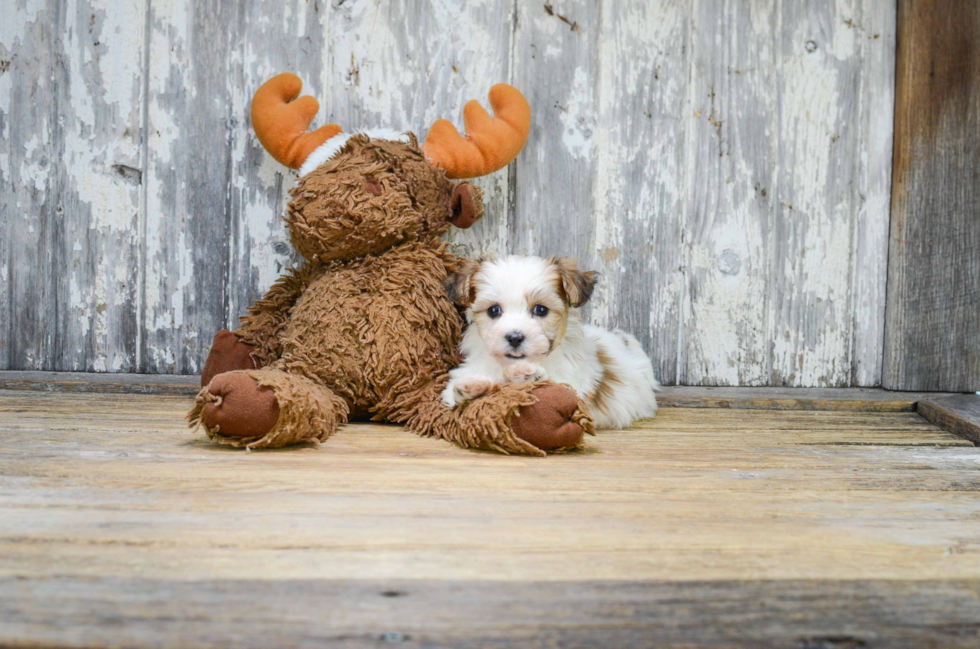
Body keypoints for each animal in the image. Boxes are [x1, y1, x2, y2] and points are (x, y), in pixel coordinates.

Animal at [442, 254, 660, 430]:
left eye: (541, 310)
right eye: (493, 310)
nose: (514, 337)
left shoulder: (573, 385)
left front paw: (526, 375)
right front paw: (472, 387)